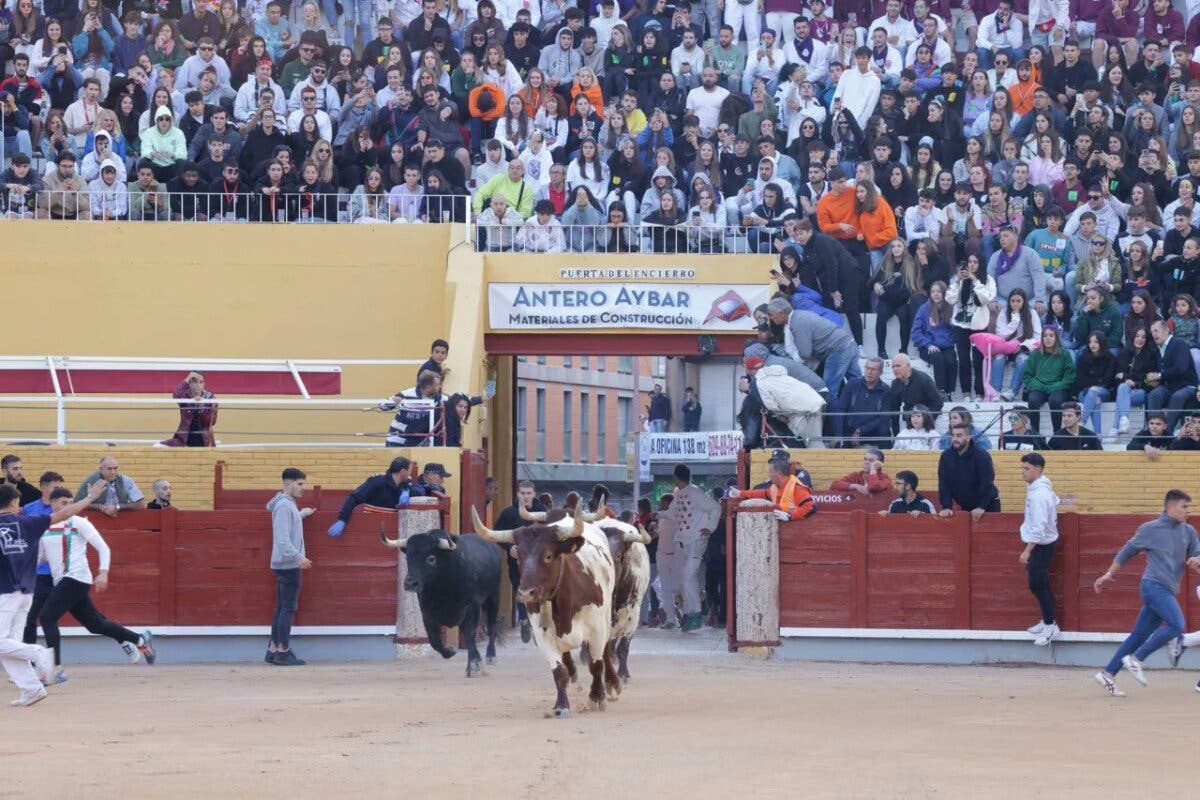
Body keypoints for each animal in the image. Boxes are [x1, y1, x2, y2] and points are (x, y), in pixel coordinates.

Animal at [379, 532, 501, 676]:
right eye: (407, 558)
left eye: (431, 559)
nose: (410, 583)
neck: (442, 588)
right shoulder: (426, 613)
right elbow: (434, 640)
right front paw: (450, 651)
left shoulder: (471, 608)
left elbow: (470, 635)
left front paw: (472, 666)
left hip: (493, 597)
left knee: (492, 626)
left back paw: (491, 656)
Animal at [470, 506, 614, 719]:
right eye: (519, 556)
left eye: (548, 555)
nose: (525, 593)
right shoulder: (543, 636)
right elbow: (559, 672)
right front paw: (561, 705)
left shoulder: (597, 630)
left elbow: (596, 664)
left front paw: (597, 697)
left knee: (604, 654)